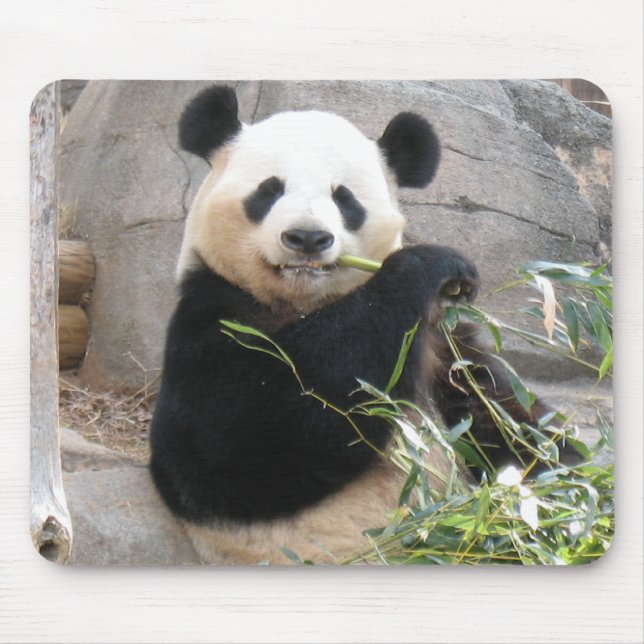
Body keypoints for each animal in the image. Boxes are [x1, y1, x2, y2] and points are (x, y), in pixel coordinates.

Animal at [149, 85, 561, 565]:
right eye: (269, 190)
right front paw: (432, 263)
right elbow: (230, 441)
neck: (307, 302)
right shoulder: (213, 310)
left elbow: (506, 421)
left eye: (343, 198)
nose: (307, 238)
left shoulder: (442, 345)